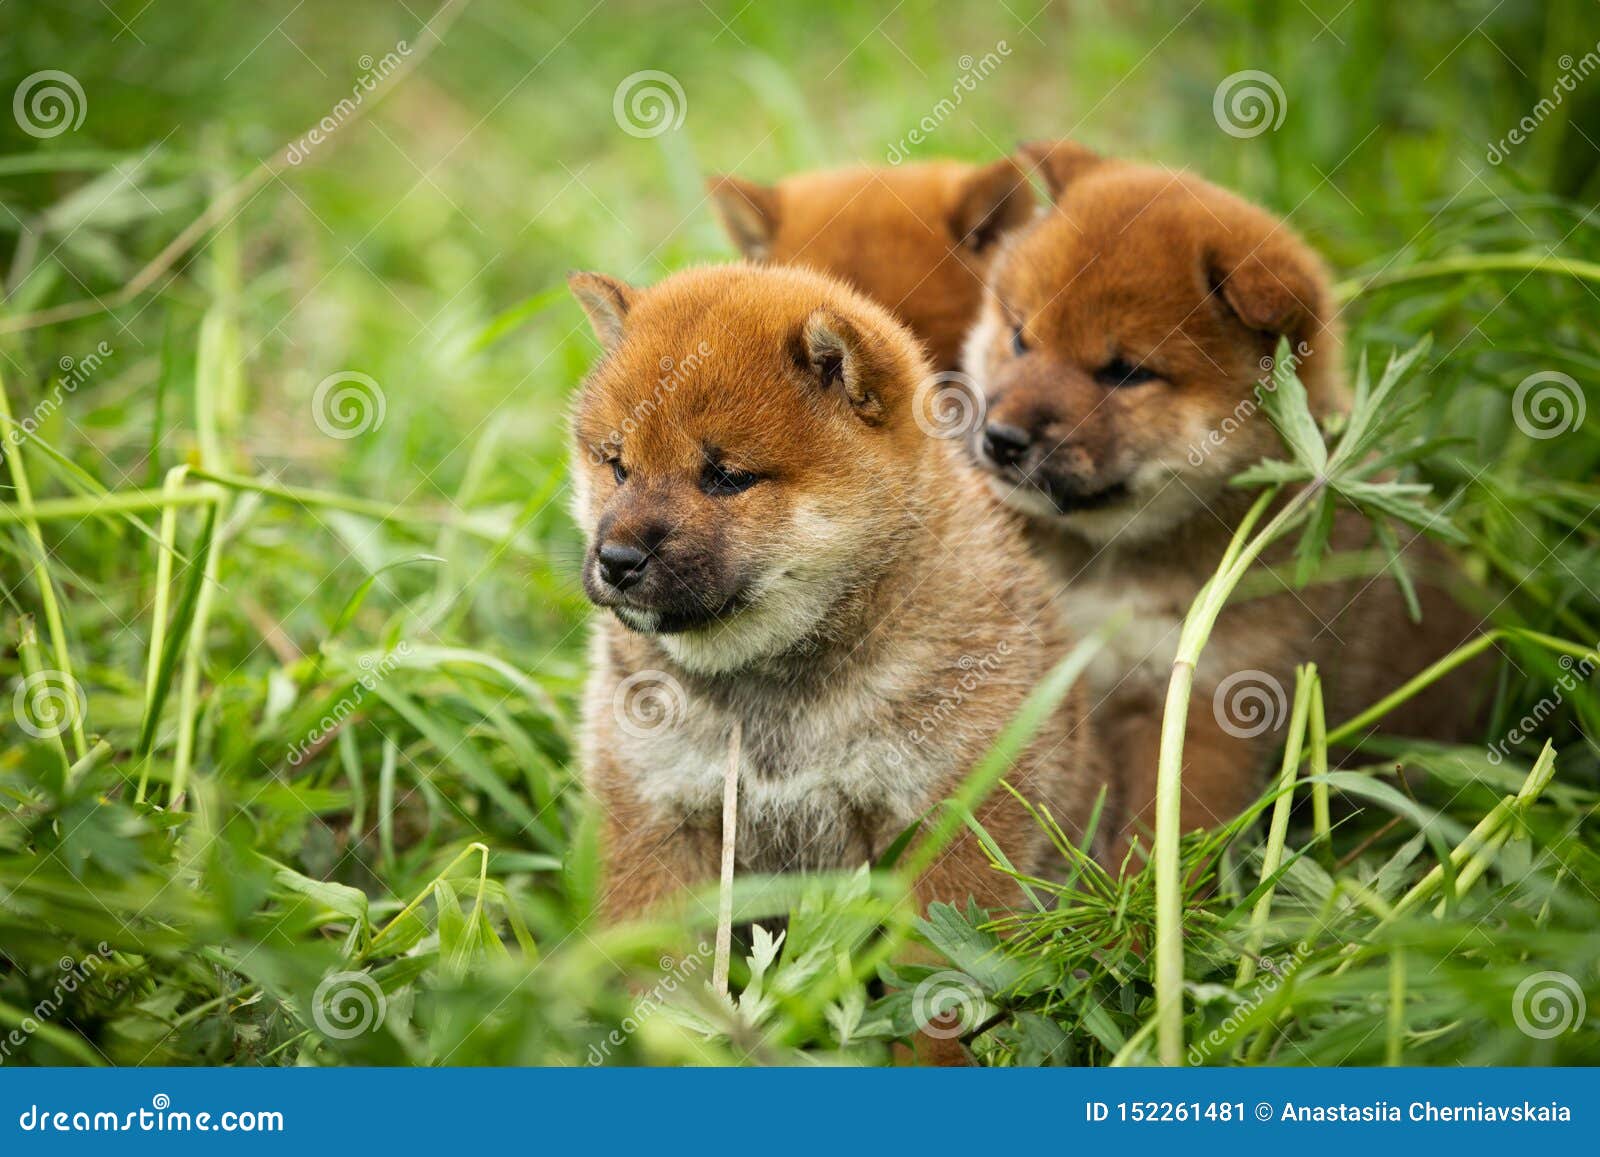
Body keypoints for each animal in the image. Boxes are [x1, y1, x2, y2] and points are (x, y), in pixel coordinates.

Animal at [953, 140, 1478, 857]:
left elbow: (1164, 830)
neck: (1115, 561)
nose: (1001, 438)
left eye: (1126, 373)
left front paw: (1138, 891)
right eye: (1019, 337)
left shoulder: (1209, 704)